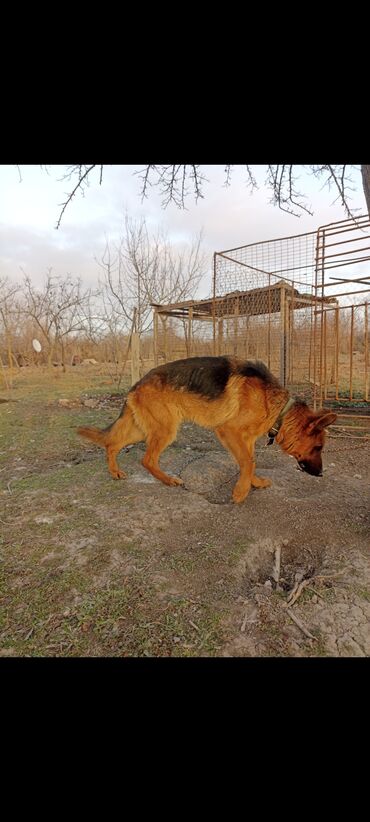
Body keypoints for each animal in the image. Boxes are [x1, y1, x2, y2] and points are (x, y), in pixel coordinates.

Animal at [76, 358, 336, 506]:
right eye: (318, 447)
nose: (322, 474)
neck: (279, 407)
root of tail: (136, 384)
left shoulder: (244, 439)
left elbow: (249, 461)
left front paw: (254, 483)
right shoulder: (228, 431)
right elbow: (249, 461)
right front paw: (240, 492)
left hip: (143, 430)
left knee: (112, 444)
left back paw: (115, 472)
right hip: (165, 430)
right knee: (146, 459)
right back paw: (168, 480)